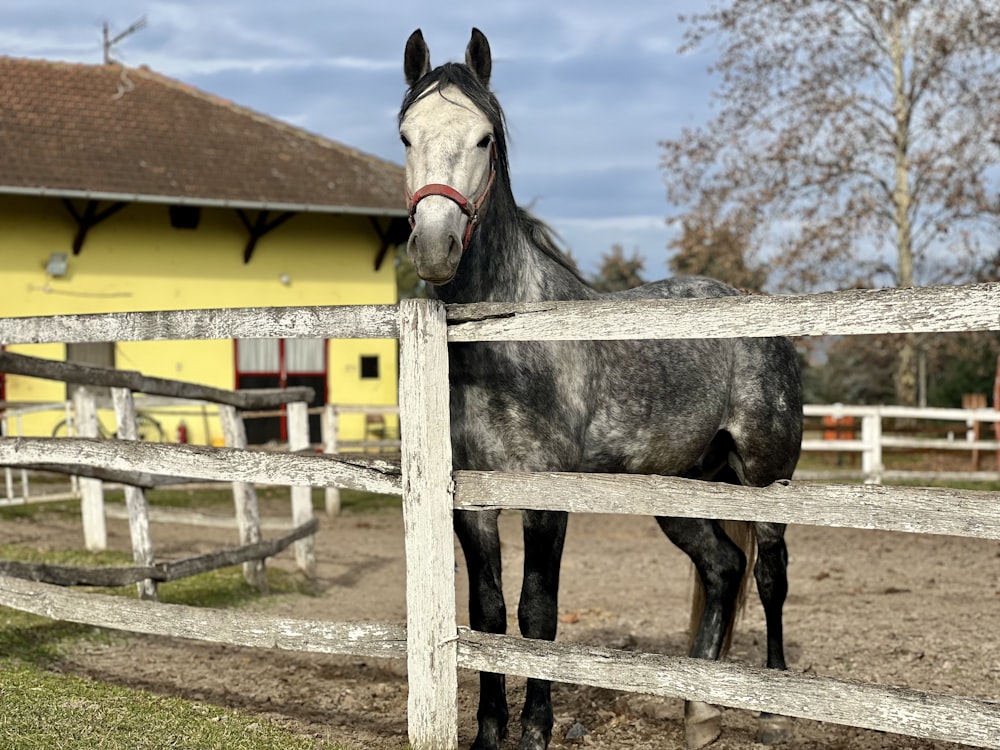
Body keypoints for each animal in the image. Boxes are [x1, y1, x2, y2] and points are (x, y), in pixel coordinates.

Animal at [398, 27, 804, 750]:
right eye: (405, 137)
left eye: (484, 139)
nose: (435, 246)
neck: (506, 343)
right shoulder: (473, 504)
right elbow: (488, 613)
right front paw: (489, 731)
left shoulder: (546, 499)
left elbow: (537, 612)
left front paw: (535, 730)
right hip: (680, 490)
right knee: (723, 568)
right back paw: (700, 711)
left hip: (766, 481)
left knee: (769, 576)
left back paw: (772, 705)